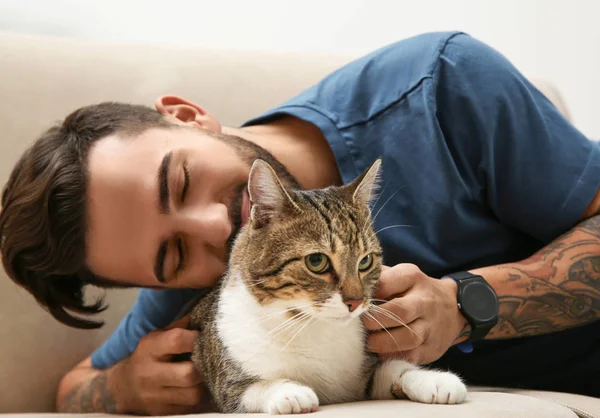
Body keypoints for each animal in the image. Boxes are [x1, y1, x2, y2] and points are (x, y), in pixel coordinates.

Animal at [190, 158, 466, 414]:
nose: (355, 301)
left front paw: (434, 379)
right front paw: (289, 392)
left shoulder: (359, 380)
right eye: (316, 261)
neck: (309, 327)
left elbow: (393, 369)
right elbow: (255, 386)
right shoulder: (228, 384)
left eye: (365, 261)